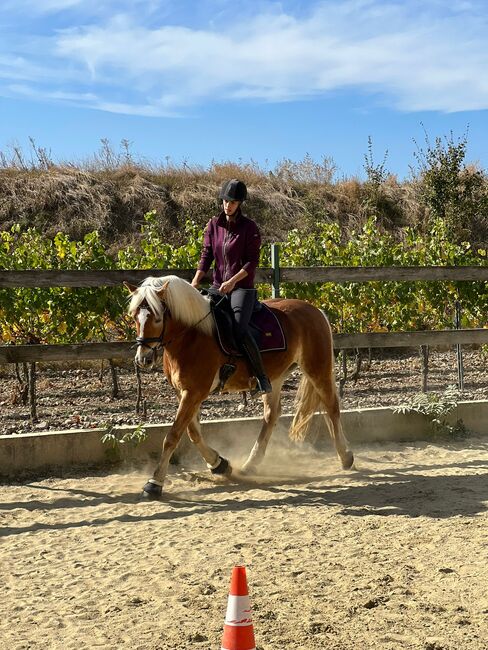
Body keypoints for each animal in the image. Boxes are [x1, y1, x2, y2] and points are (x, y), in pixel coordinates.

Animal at [125, 274, 354, 496]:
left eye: (157, 317)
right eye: (135, 317)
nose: (143, 359)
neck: (191, 335)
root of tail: (315, 310)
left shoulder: (194, 393)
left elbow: (173, 436)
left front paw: (154, 483)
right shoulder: (183, 393)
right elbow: (193, 432)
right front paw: (219, 464)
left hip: (317, 369)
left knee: (331, 406)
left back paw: (346, 457)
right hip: (274, 377)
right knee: (271, 414)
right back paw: (251, 464)